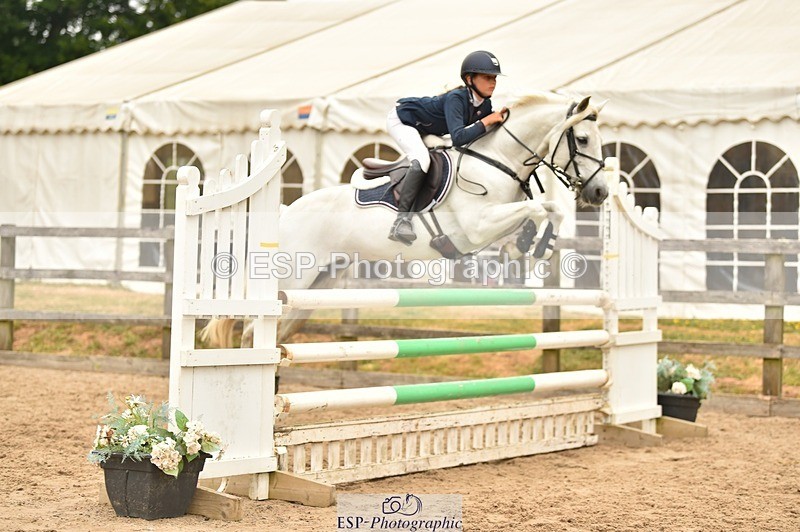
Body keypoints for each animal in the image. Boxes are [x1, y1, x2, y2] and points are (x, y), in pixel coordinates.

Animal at [201, 93, 608, 348]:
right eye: (582, 139)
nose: (601, 192)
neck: (497, 160)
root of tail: (286, 212)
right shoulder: (478, 226)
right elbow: (538, 208)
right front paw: (532, 243)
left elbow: (547, 210)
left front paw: (531, 244)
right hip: (292, 280)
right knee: (253, 333)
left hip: (317, 285)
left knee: (281, 333)